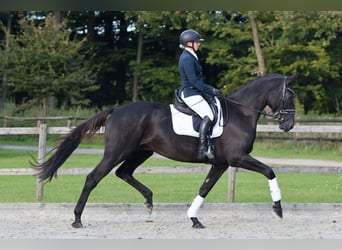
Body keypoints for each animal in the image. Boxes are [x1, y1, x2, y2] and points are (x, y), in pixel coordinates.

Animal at [34, 73, 296, 229]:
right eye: (290, 95)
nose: (289, 125)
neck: (241, 113)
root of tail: (117, 110)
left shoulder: (221, 163)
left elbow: (204, 188)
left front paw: (194, 219)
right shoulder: (238, 158)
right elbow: (270, 171)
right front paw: (278, 209)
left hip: (141, 152)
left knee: (123, 173)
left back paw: (149, 202)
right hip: (116, 152)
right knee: (93, 177)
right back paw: (77, 219)